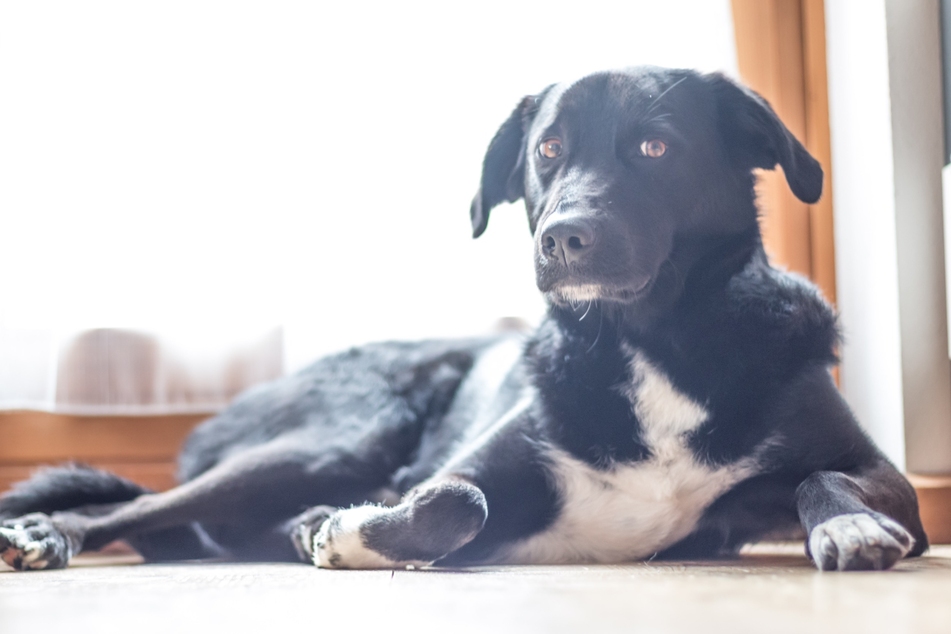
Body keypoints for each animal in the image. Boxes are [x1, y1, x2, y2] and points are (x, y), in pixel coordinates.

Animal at [0, 66, 924, 572]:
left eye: (655, 147)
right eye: (547, 150)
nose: (562, 238)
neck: (643, 344)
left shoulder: (886, 481)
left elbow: (825, 479)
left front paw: (845, 524)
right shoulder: (466, 472)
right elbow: (455, 503)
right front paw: (350, 535)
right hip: (337, 438)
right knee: (135, 506)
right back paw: (46, 532)